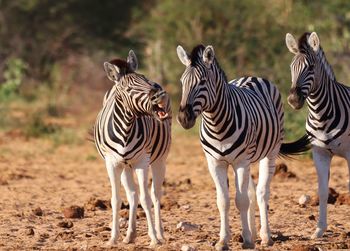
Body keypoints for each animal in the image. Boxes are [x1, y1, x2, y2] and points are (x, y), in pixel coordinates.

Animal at [93, 50, 172, 246]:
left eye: (144, 79)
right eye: (129, 89)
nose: (160, 95)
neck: (126, 129)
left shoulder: (142, 162)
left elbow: (146, 198)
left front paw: (154, 239)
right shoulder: (112, 163)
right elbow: (116, 199)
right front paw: (113, 238)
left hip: (159, 160)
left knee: (155, 194)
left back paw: (160, 233)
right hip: (125, 166)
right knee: (132, 194)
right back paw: (130, 235)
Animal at [176, 44, 310, 250]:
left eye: (203, 82)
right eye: (182, 82)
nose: (184, 118)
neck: (217, 125)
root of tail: (252, 76)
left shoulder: (241, 162)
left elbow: (241, 201)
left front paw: (246, 240)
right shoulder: (215, 163)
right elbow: (223, 201)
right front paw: (224, 240)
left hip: (269, 153)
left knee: (262, 193)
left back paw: (265, 236)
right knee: (251, 192)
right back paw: (255, 233)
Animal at [286, 31, 350, 239]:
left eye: (311, 67)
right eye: (291, 67)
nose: (293, 100)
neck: (321, 113)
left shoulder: (349, 153)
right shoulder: (319, 153)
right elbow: (322, 191)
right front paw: (319, 229)